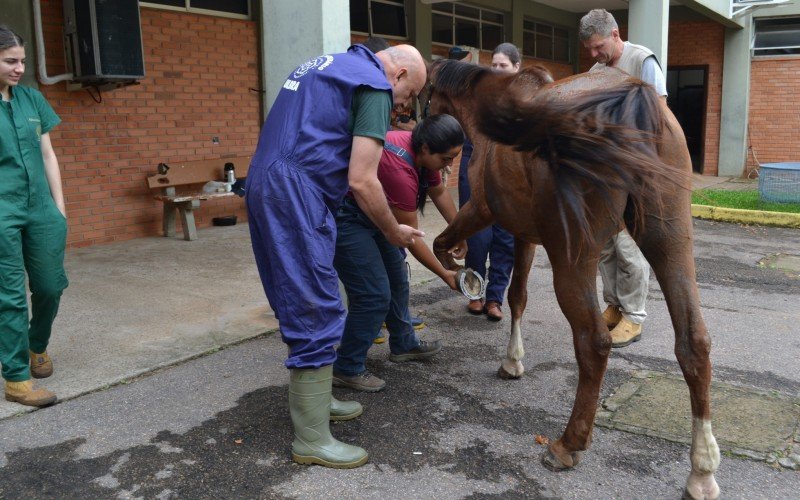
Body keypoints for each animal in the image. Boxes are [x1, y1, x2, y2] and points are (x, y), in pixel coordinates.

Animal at [428, 59, 720, 500]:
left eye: (424, 90)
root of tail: (631, 100)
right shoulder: (525, 236)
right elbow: (518, 296)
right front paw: (512, 360)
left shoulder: (481, 210)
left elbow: (443, 242)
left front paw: (460, 269)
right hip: (671, 242)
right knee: (694, 343)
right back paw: (701, 471)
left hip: (574, 260)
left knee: (594, 342)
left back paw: (567, 444)